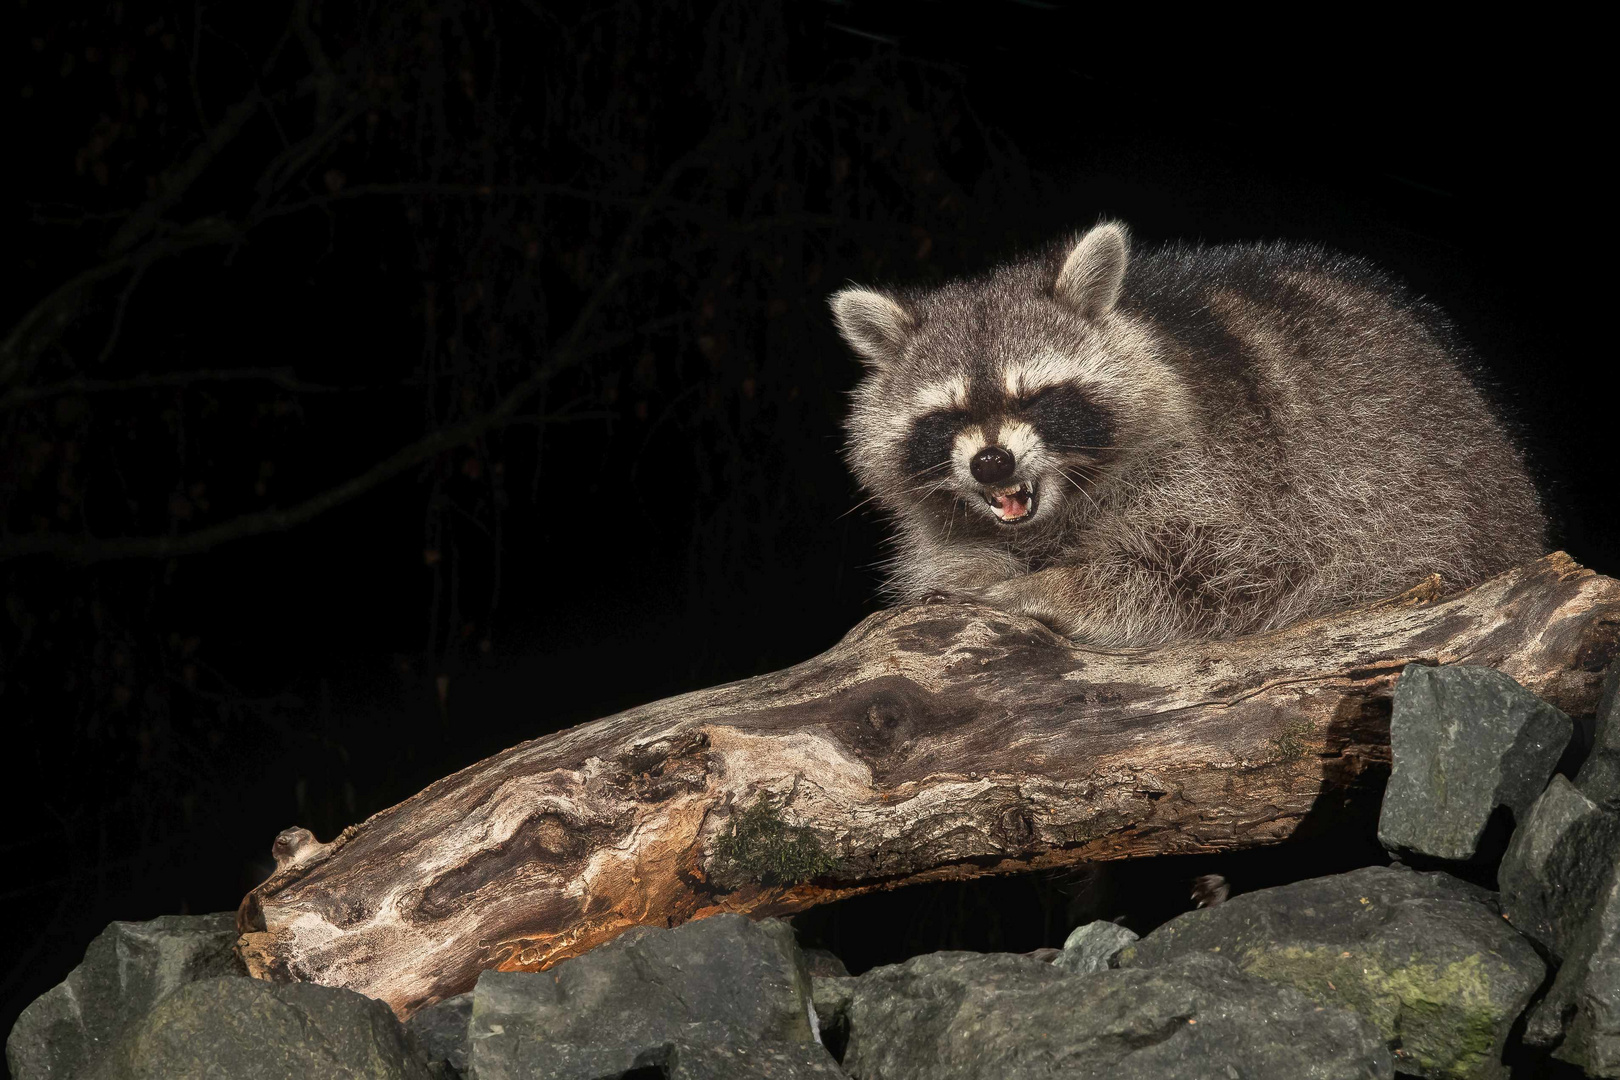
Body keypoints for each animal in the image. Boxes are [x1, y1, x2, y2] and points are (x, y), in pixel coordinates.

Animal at [829, 218, 1548, 641]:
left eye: (1035, 398)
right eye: (948, 417)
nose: (992, 463)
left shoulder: (1238, 480)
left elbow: (1216, 578)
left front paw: (1039, 587)